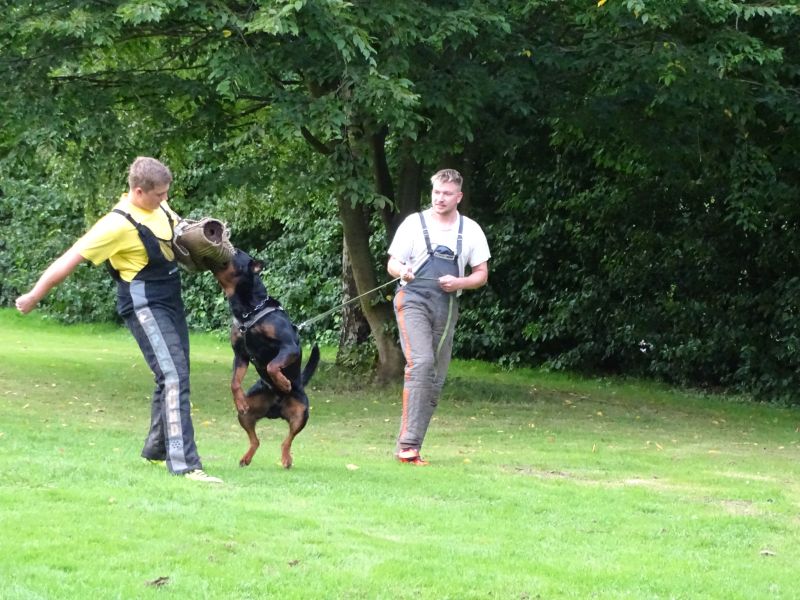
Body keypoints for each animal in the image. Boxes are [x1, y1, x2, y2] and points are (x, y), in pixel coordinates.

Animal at [212, 249, 320, 468]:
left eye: (236, 252)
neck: (247, 311)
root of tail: (276, 410)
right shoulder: (241, 355)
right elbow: (234, 382)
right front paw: (239, 399)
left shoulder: (289, 347)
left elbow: (272, 365)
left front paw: (284, 382)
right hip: (246, 414)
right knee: (256, 440)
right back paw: (246, 457)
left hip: (302, 413)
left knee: (287, 440)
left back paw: (286, 459)